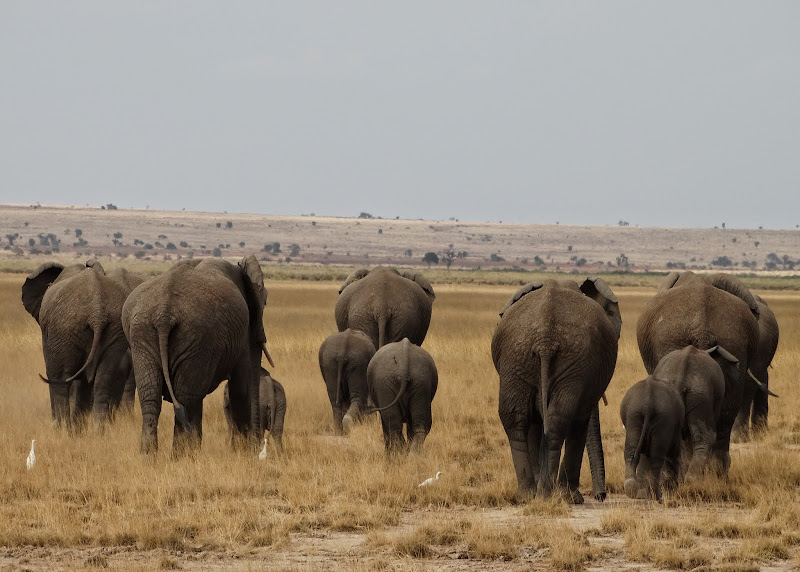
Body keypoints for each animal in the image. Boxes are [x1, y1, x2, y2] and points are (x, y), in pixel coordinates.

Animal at [21, 260, 146, 428]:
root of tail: (97, 312)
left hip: (66, 328)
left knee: (60, 377)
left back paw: (63, 429)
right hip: (114, 329)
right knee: (103, 379)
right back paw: (98, 430)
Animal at [121, 255, 272, 456]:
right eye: (265, 302)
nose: (258, 448)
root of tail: (164, 313)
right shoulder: (241, 337)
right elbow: (241, 389)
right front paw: (243, 453)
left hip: (144, 337)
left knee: (155, 399)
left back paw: (150, 457)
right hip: (196, 338)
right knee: (186, 400)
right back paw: (180, 457)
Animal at [490, 278, 620, 504]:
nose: (601, 496)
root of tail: (545, 337)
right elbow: (579, 421)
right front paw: (573, 498)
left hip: (520, 359)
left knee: (520, 418)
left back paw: (530, 495)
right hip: (550, 358)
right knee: (561, 419)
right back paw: (546, 494)